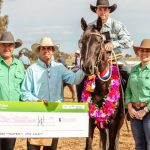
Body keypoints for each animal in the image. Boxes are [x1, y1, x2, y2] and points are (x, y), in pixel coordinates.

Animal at [79, 16, 125, 150]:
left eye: (99, 41)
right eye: (82, 41)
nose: (88, 67)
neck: (101, 88)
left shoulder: (114, 124)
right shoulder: (90, 121)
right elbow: (89, 144)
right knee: (104, 140)